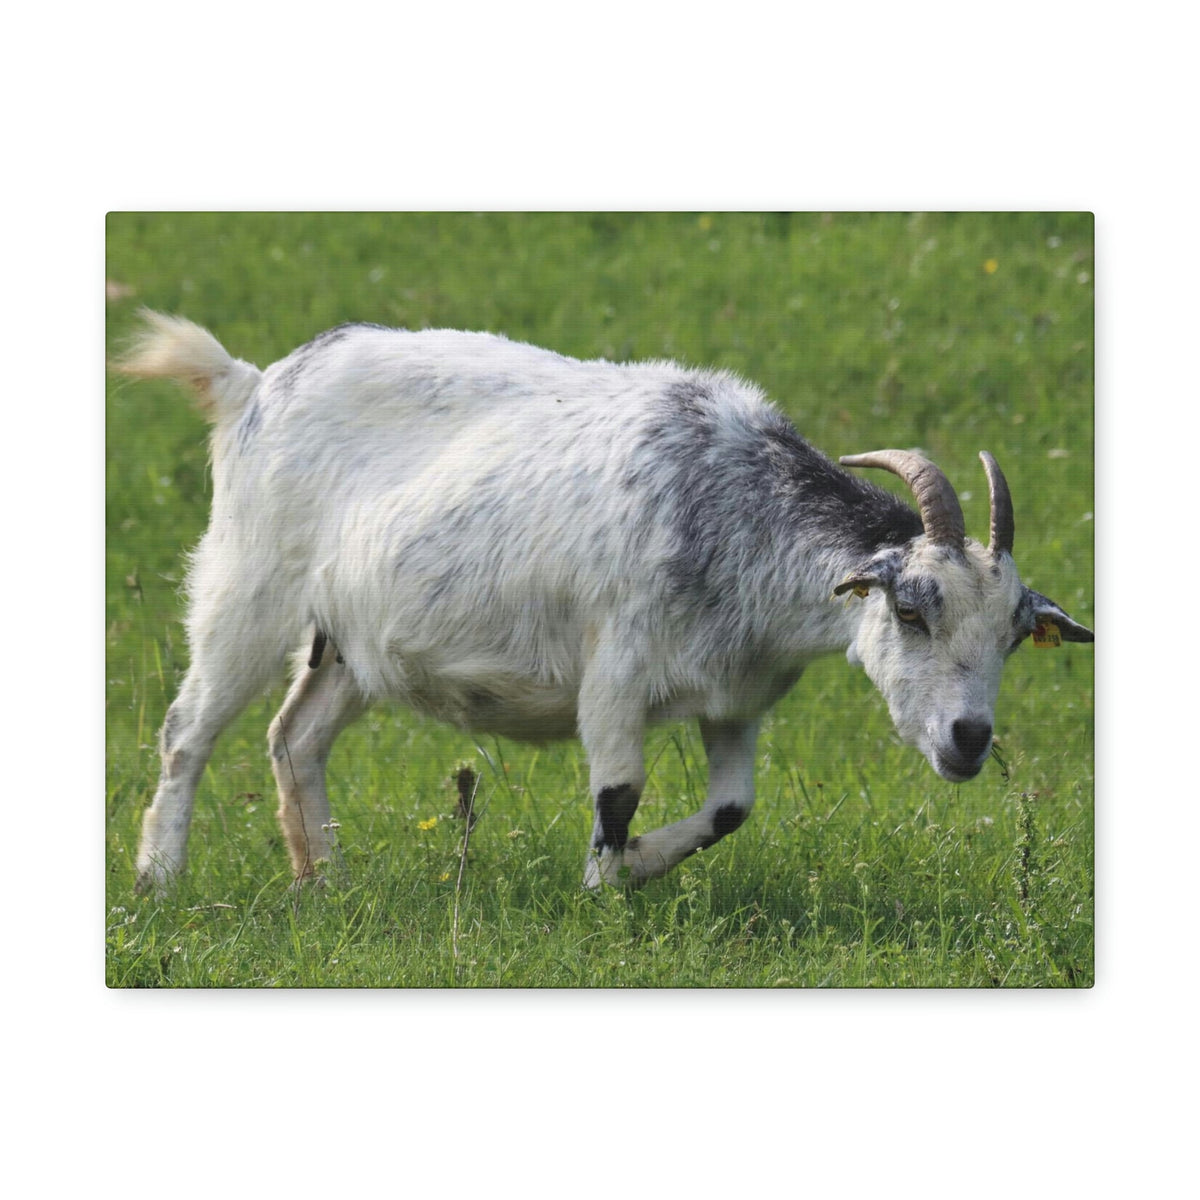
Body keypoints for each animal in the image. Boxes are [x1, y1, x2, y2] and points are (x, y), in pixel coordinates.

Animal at [115, 311, 1094, 893]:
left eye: (1013, 636)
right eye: (911, 610)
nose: (969, 739)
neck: (729, 503)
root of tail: (249, 383)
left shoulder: (736, 699)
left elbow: (732, 808)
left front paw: (639, 865)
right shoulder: (616, 674)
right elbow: (617, 792)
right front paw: (603, 893)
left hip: (350, 643)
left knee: (295, 737)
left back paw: (324, 880)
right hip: (247, 588)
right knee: (187, 732)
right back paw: (158, 882)